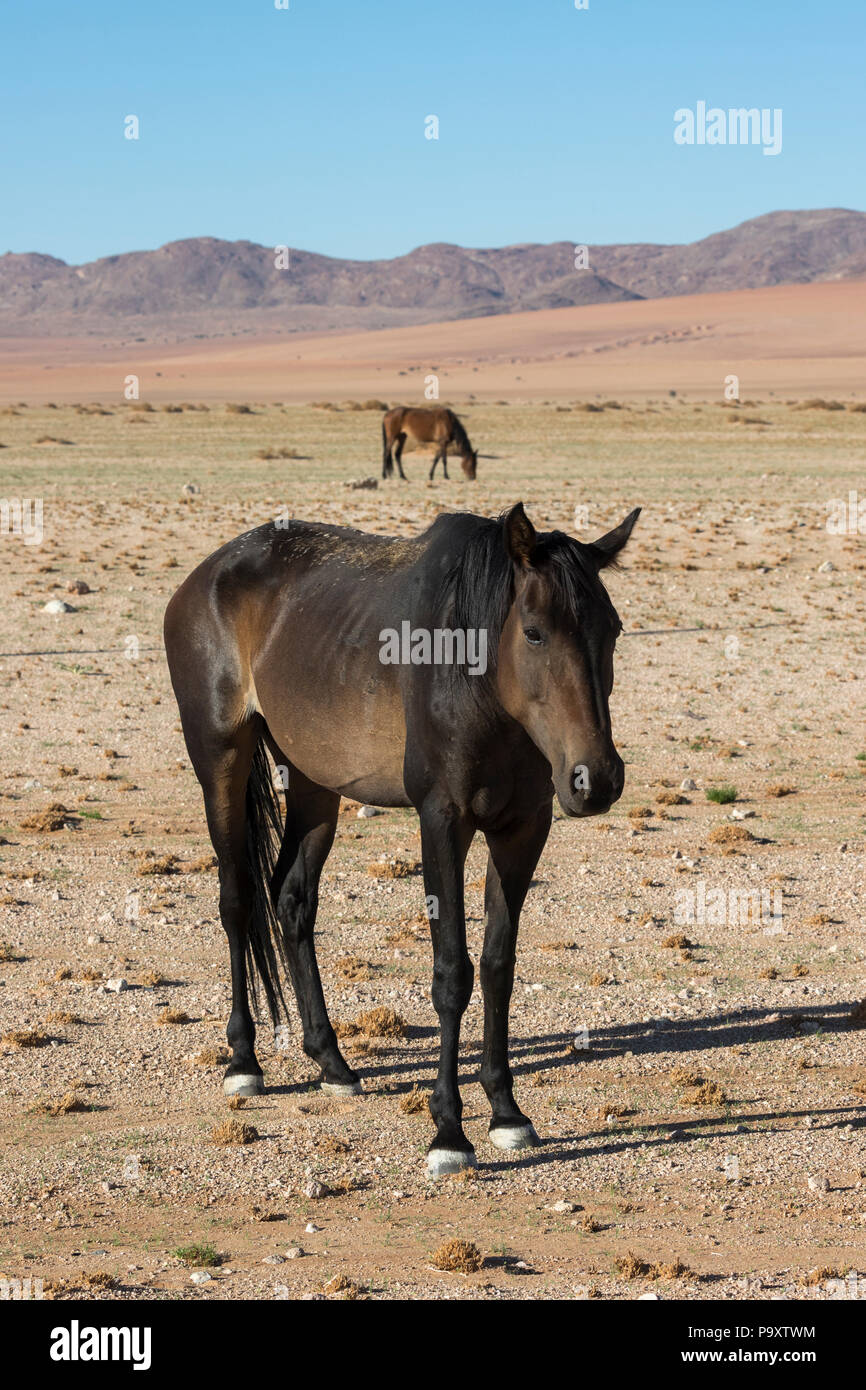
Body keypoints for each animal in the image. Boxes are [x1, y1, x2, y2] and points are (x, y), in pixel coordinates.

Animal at [164, 500, 636, 1173]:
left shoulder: (523, 828)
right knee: (238, 902)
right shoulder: (441, 821)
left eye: (613, 631)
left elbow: (498, 966)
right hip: (220, 760)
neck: (477, 680)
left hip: (314, 781)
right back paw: (244, 1061)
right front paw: (449, 1132)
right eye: (535, 632)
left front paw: (507, 1112)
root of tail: (206, 573)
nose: (596, 779)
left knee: (291, 900)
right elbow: (451, 973)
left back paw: (332, 1062)